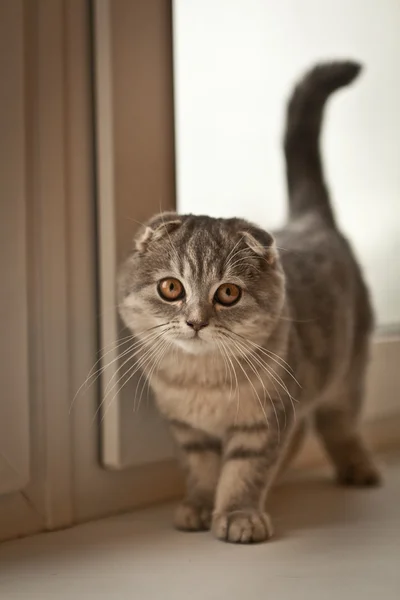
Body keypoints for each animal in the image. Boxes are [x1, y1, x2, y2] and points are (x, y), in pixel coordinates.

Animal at [117, 61, 380, 544]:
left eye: (228, 293)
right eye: (171, 289)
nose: (196, 321)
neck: (202, 381)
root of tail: (311, 218)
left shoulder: (266, 420)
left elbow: (244, 471)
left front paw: (239, 515)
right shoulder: (188, 430)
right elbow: (203, 471)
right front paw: (201, 506)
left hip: (348, 370)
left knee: (340, 423)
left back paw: (357, 467)